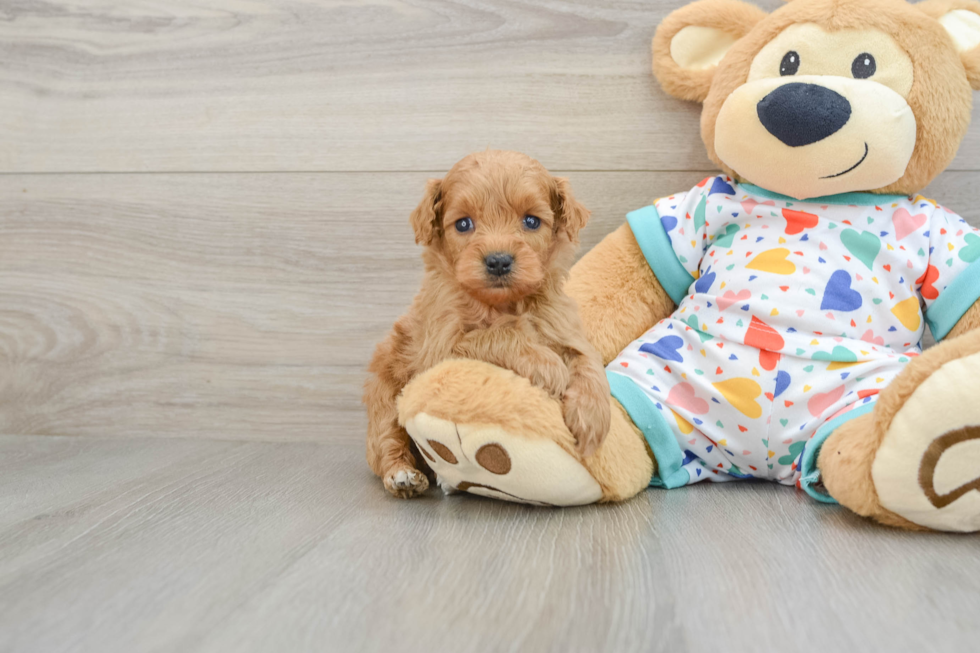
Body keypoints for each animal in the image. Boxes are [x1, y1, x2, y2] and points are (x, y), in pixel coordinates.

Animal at [364, 150, 608, 496]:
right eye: (463, 224)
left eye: (531, 221)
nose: (498, 261)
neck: (503, 303)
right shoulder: (438, 350)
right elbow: (495, 335)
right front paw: (547, 367)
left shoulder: (564, 327)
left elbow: (588, 362)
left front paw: (592, 419)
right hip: (384, 390)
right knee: (385, 440)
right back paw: (402, 474)